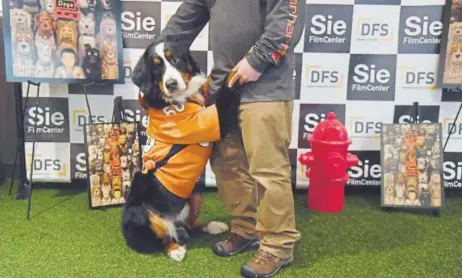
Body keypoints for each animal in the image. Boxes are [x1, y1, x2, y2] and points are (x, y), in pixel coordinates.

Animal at [121, 40, 240, 262]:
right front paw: (236, 70)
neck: (181, 99)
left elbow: (207, 82)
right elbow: (225, 91)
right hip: (140, 210)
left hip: (195, 194)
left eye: (175, 59)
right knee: (162, 239)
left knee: (189, 226)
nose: (171, 84)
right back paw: (174, 249)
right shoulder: (215, 120)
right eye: (156, 68)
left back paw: (211, 226)